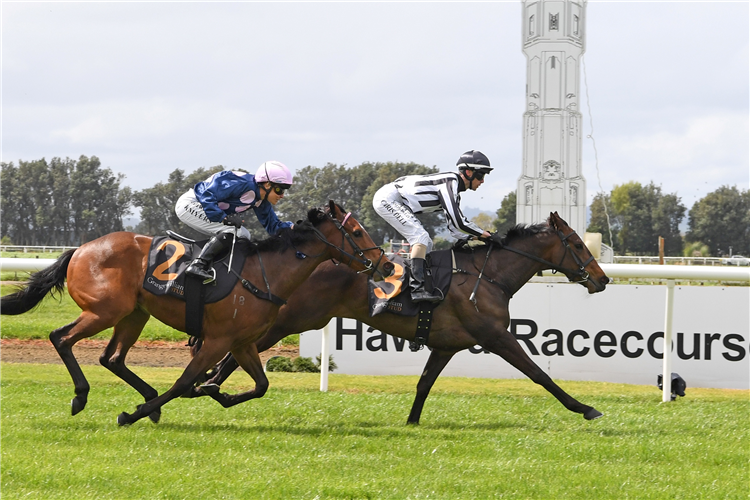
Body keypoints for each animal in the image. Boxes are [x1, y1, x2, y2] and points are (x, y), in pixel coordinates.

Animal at [0, 202, 390, 426]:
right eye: (357, 231)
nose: (385, 264)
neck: (265, 273)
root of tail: (80, 249)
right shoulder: (217, 340)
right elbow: (184, 382)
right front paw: (131, 415)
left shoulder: (242, 342)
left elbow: (260, 385)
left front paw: (219, 394)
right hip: (105, 311)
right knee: (62, 337)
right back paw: (83, 396)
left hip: (134, 314)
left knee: (112, 358)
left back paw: (146, 398)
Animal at [195, 211, 612, 422]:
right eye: (578, 245)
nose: (603, 279)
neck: (487, 275)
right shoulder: (495, 336)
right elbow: (540, 374)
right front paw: (586, 408)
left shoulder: (446, 346)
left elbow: (424, 384)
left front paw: (412, 423)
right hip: (288, 322)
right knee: (232, 354)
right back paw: (210, 387)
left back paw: (209, 387)